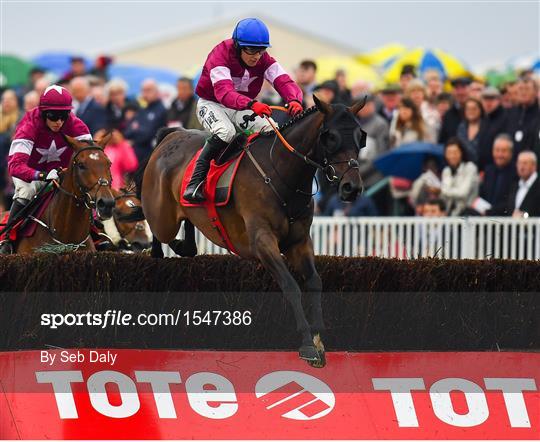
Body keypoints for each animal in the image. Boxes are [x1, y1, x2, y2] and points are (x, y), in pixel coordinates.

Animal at [135, 96, 368, 366]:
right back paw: (158, 249)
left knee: (188, 234)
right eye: (330, 137)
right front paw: (307, 344)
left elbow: (314, 282)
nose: (352, 188)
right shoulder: (262, 241)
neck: (281, 172)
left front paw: (319, 340)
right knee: (158, 232)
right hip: (163, 217)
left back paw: (184, 245)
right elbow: (291, 286)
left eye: (360, 136)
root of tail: (171, 136)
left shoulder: (300, 241)